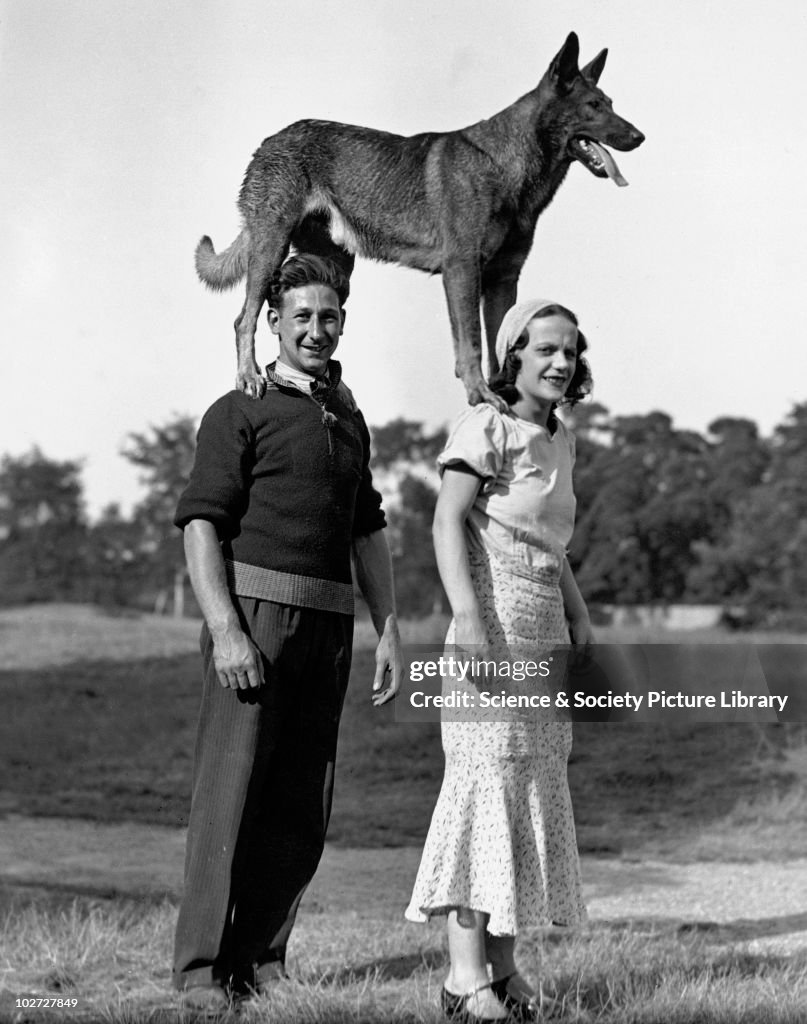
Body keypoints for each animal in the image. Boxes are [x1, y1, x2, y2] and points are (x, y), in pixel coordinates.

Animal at [193, 29, 643, 403]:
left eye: (611, 105)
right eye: (593, 106)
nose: (639, 137)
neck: (507, 167)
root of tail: (269, 141)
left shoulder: (503, 277)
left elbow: (501, 344)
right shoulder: (462, 269)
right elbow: (471, 344)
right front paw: (482, 395)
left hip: (333, 265)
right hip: (271, 246)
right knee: (244, 319)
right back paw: (249, 377)